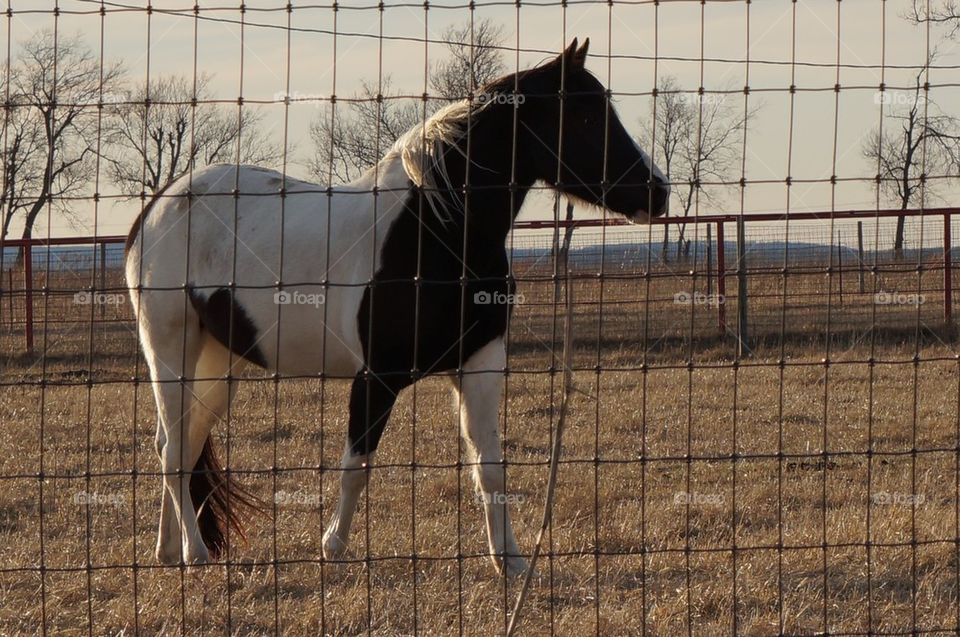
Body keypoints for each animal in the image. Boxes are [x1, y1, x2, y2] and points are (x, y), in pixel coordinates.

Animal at [125, 38, 668, 576]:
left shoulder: (480, 364)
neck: (437, 232)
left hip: (221, 361)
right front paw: (334, 550)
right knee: (172, 450)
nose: (658, 192)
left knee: (184, 441)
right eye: (584, 115)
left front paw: (510, 562)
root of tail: (156, 209)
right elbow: (356, 468)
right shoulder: (377, 379)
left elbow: (490, 469)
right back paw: (194, 553)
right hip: (170, 352)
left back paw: (168, 551)